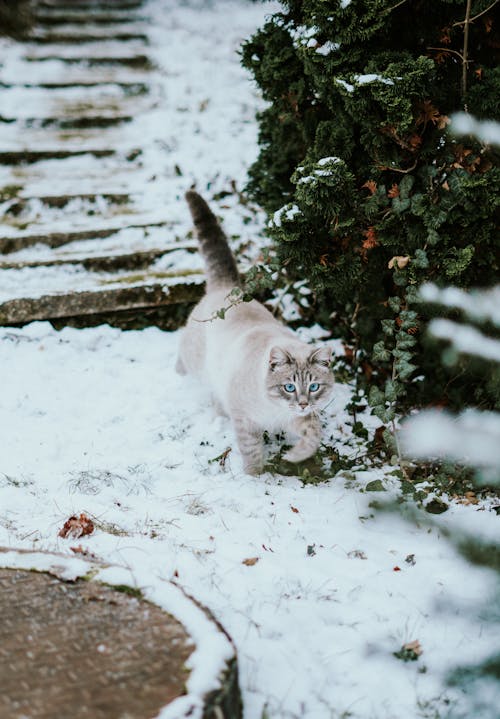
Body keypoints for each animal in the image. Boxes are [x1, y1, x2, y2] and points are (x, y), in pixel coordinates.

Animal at [176, 188, 336, 476]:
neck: (275, 410)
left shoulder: (296, 418)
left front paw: (294, 457)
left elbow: (313, 436)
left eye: (314, 387)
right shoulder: (246, 420)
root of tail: (228, 287)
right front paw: (255, 477)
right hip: (197, 361)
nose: (303, 403)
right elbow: (252, 452)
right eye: (289, 387)